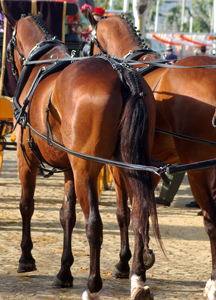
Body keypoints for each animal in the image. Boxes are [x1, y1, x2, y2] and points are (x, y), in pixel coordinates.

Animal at [5, 12, 159, 300]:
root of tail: (122, 73)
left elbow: (26, 206)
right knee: (138, 213)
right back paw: (137, 278)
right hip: (127, 165)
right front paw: (64, 272)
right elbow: (67, 215)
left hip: (86, 168)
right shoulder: (68, 167)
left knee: (94, 225)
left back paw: (93, 285)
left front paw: (26, 258)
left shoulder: (26, 158)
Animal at [87, 12, 216, 300]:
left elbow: (125, 212)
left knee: (211, 220)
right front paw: (144, 259)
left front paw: (126, 263)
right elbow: (143, 210)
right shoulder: (152, 166)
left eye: (88, 41)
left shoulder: (120, 166)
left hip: (199, 170)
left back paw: (213, 281)